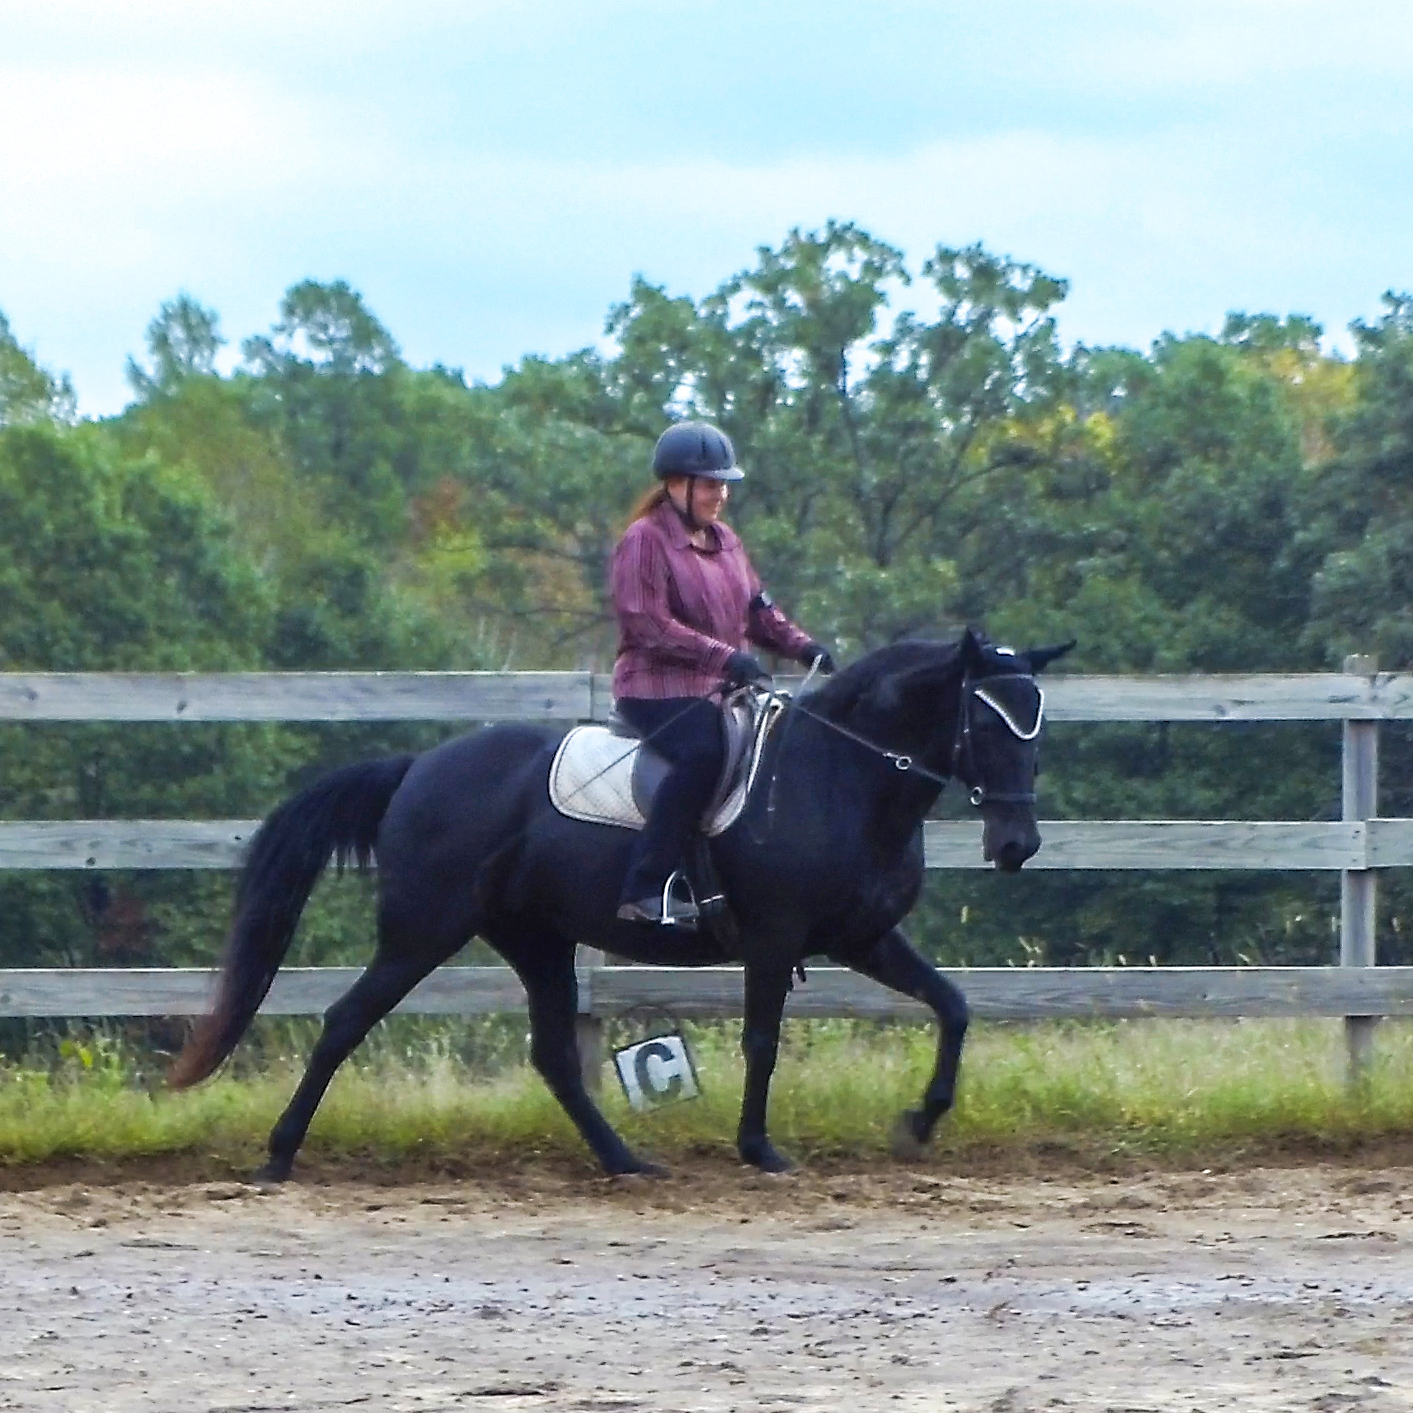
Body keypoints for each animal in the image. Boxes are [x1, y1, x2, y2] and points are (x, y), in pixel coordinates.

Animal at [169, 627, 1072, 1179]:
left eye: (1035, 721)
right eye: (986, 721)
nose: (1016, 844)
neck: (841, 774)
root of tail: (418, 766)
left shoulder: (863, 935)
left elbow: (952, 1006)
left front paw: (920, 1120)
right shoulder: (775, 937)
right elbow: (761, 1041)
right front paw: (758, 1147)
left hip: (536, 940)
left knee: (553, 1056)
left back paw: (625, 1159)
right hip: (423, 932)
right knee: (344, 1022)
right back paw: (278, 1155)